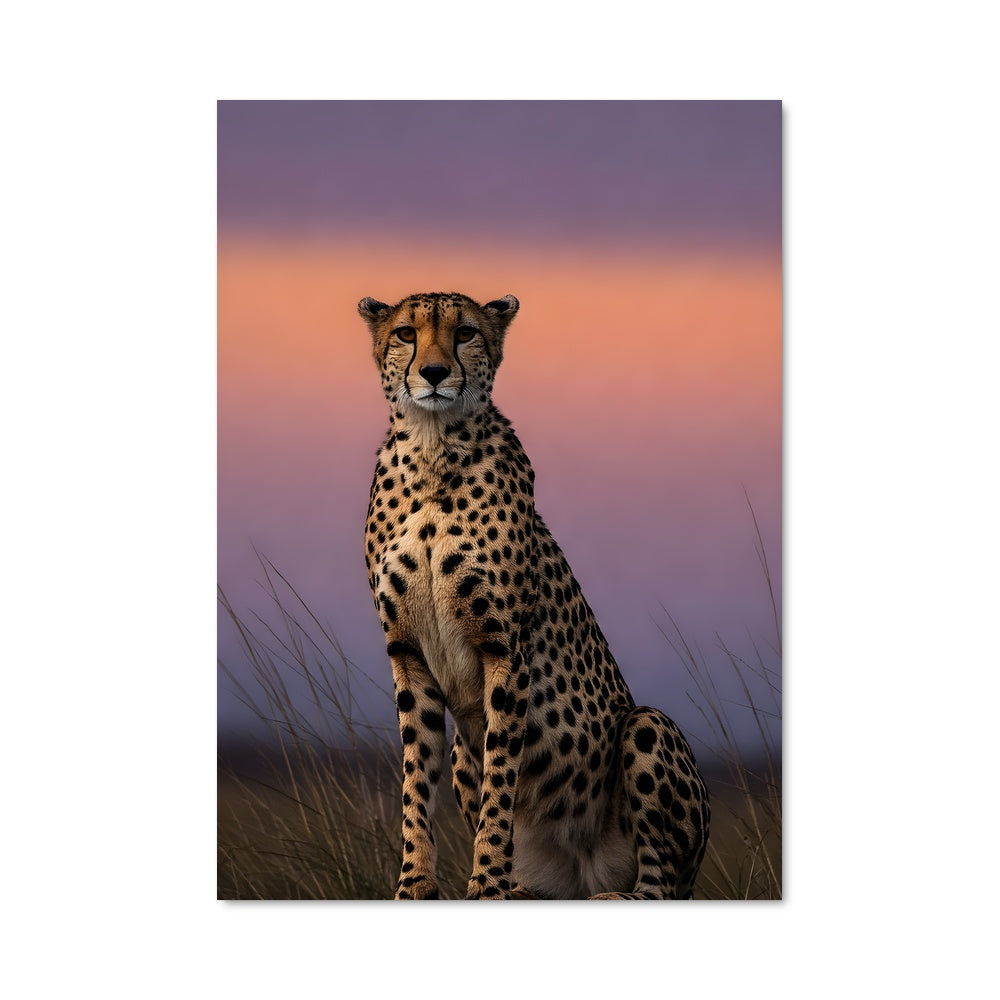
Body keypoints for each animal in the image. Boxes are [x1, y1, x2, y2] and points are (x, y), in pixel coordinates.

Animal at [359, 290, 709, 899]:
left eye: (466, 333)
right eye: (406, 333)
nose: (434, 372)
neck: (432, 451)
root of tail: (582, 878)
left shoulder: (504, 649)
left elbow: (501, 777)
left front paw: (487, 883)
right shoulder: (407, 654)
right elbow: (414, 779)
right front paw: (414, 884)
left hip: (646, 726)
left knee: (661, 887)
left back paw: (611, 894)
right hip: (465, 754)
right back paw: (526, 888)